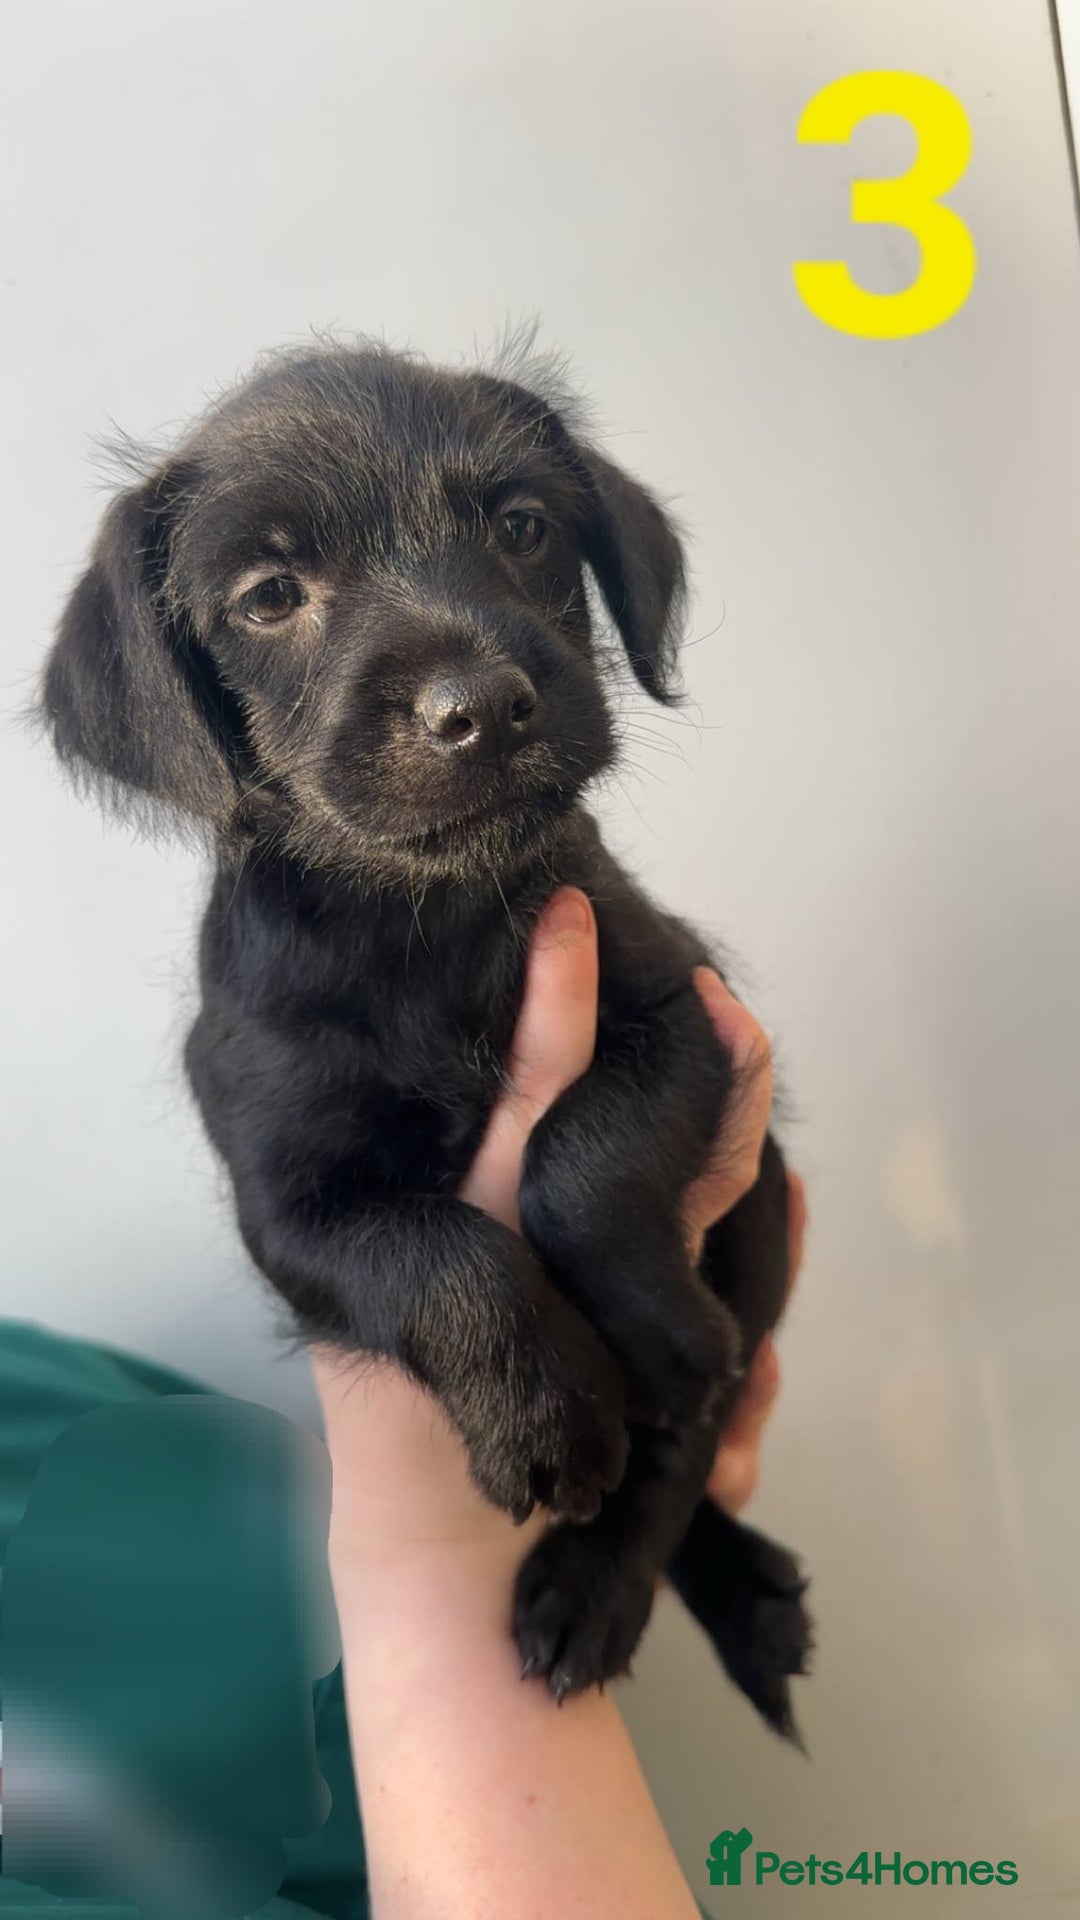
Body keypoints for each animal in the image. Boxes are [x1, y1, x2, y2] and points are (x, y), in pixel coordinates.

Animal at [41, 340, 812, 1740]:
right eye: (270, 595)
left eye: (523, 528)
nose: (482, 706)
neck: (422, 926)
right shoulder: (292, 1204)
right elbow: (436, 1252)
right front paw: (545, 1414)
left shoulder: (682, 1011)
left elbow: (580, 1157)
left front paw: (645, 1339)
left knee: (694, 1431)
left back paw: (618, 1581)